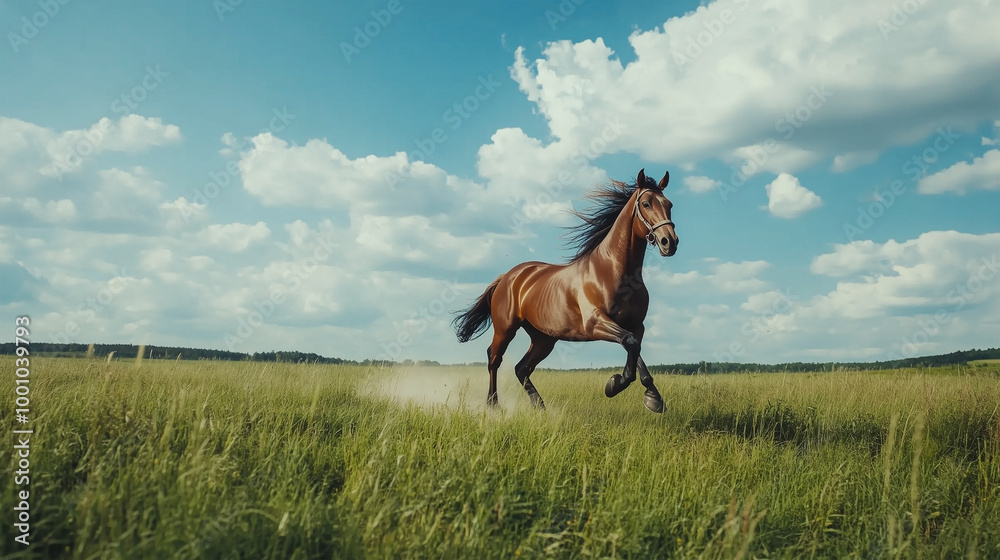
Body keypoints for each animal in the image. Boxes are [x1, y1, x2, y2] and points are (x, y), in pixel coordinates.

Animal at [453, 169, 679, 413]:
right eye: (646, 204)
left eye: (669, 204)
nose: (669, 242)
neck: (614, 272)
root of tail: (508, 276)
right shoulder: (596, 324)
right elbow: (630, 344)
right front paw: (614, 385)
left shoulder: (636, 325)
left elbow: (635, 350)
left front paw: (652, 397)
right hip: (505, 329)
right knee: (494, 359)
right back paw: (493, 405)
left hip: (543, 339)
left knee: (522, 368)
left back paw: (539, 406)